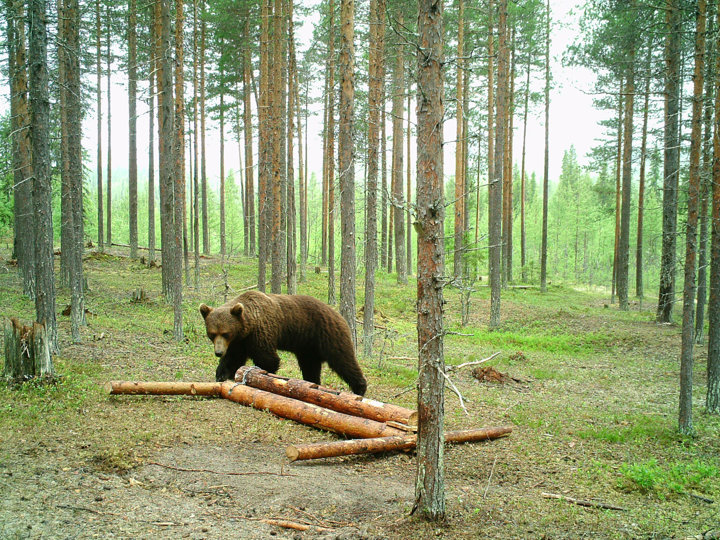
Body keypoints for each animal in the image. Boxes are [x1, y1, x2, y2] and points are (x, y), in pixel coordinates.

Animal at [199, 290, 368, 396]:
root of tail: (338, 314)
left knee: (342, 360)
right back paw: (312, 383)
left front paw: (264, 377)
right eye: (212, 334)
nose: (218, 352)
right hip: (307, 345)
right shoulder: (239, 341)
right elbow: (232, 358)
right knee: (310, 365)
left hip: (327, 334)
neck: (248, 325)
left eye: (225, 333)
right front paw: (221, 375)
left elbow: (268, 359)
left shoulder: (260, 333)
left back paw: (360, 387)